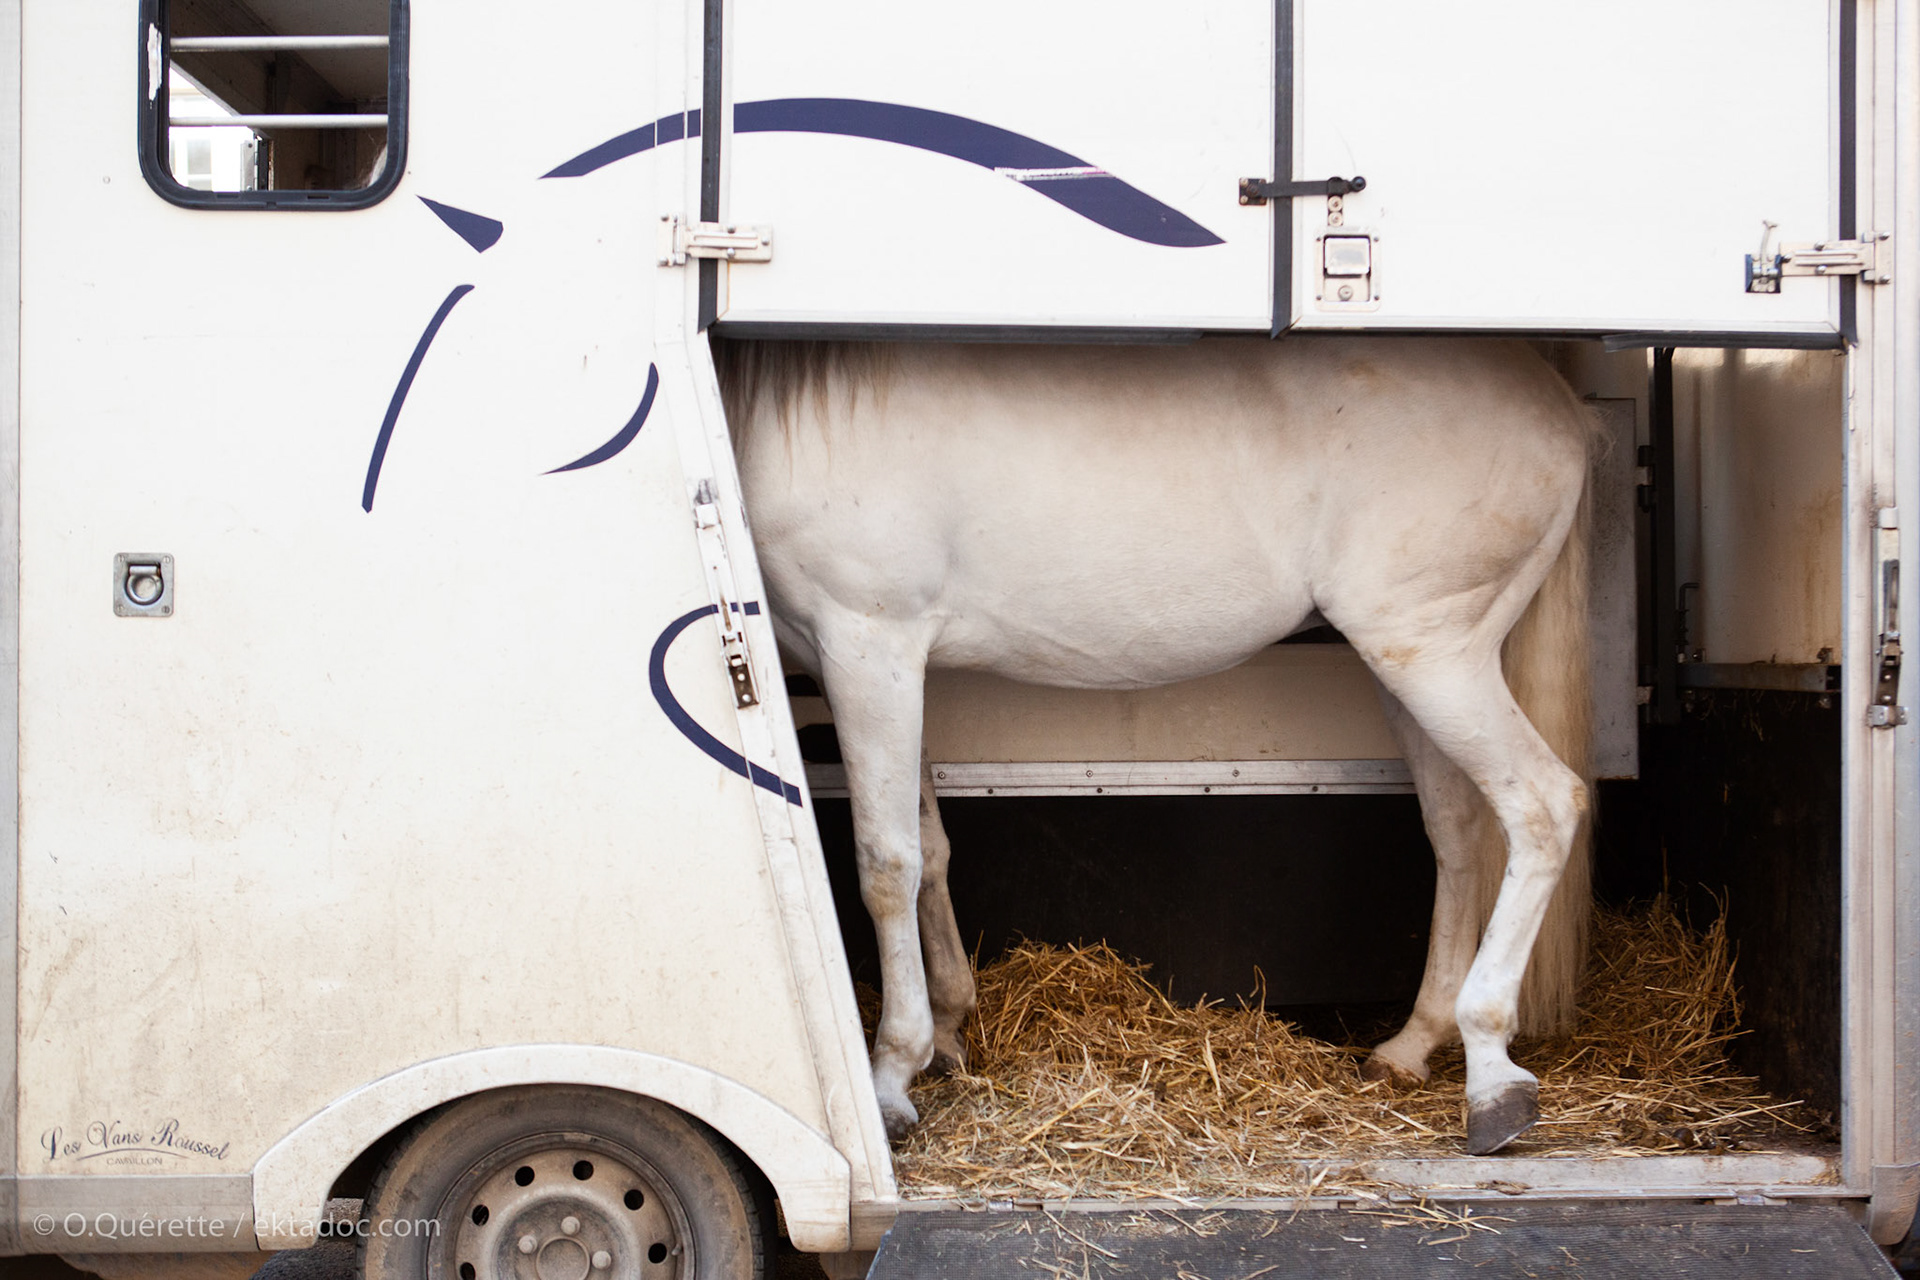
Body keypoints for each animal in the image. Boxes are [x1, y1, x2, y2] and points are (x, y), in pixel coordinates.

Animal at [716, 335, 1595, 1156]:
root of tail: (1555, 401)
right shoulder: (890, 667)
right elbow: (929, 851)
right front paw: (950, 1031)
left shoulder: (869, 646)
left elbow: (885, 865)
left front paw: (894, 1073)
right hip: (1408, 666)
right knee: (1457, 829)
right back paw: (1411, 1045)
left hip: (1434, 654)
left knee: (1543, 806)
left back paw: (1491, 1077)